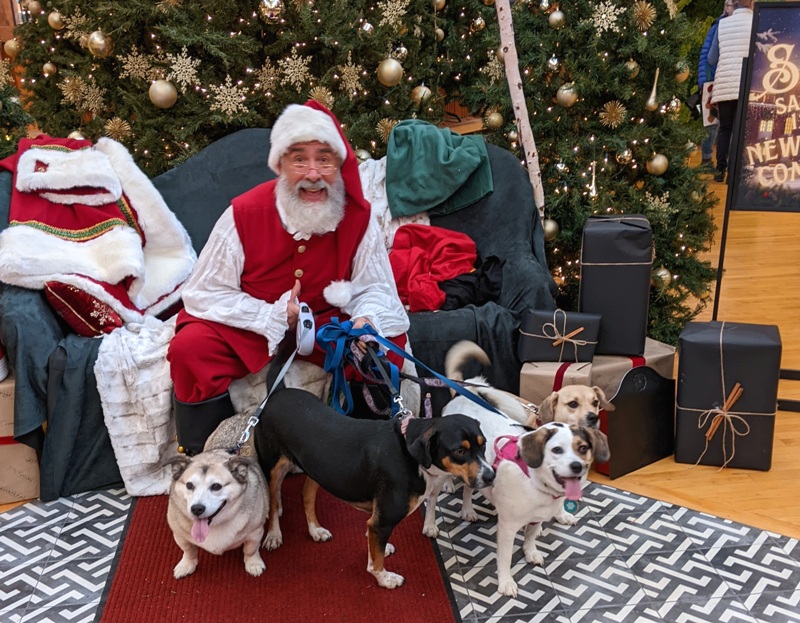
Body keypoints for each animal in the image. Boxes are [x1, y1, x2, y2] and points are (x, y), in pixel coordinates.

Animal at [166, 448, 268, 580]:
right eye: (189, 485)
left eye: (216, 486)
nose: (197, 509)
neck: (214, 525)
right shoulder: (179, 535)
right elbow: (188, 550)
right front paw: (187, 564)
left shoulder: (255, 532)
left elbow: (251, 549)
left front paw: (253, 563)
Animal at [424, 344, 612, 596]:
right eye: (556, 450)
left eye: (583, 448)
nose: (577, 467)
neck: (536, 484)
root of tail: (465, 392)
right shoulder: (507, 528)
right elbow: (504, 559)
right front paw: (506, 583)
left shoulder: (537, 518)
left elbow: (531, 537)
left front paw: (531, 550)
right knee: (433, 500)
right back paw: (432, 521)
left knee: (469, 489)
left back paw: (468, 510)